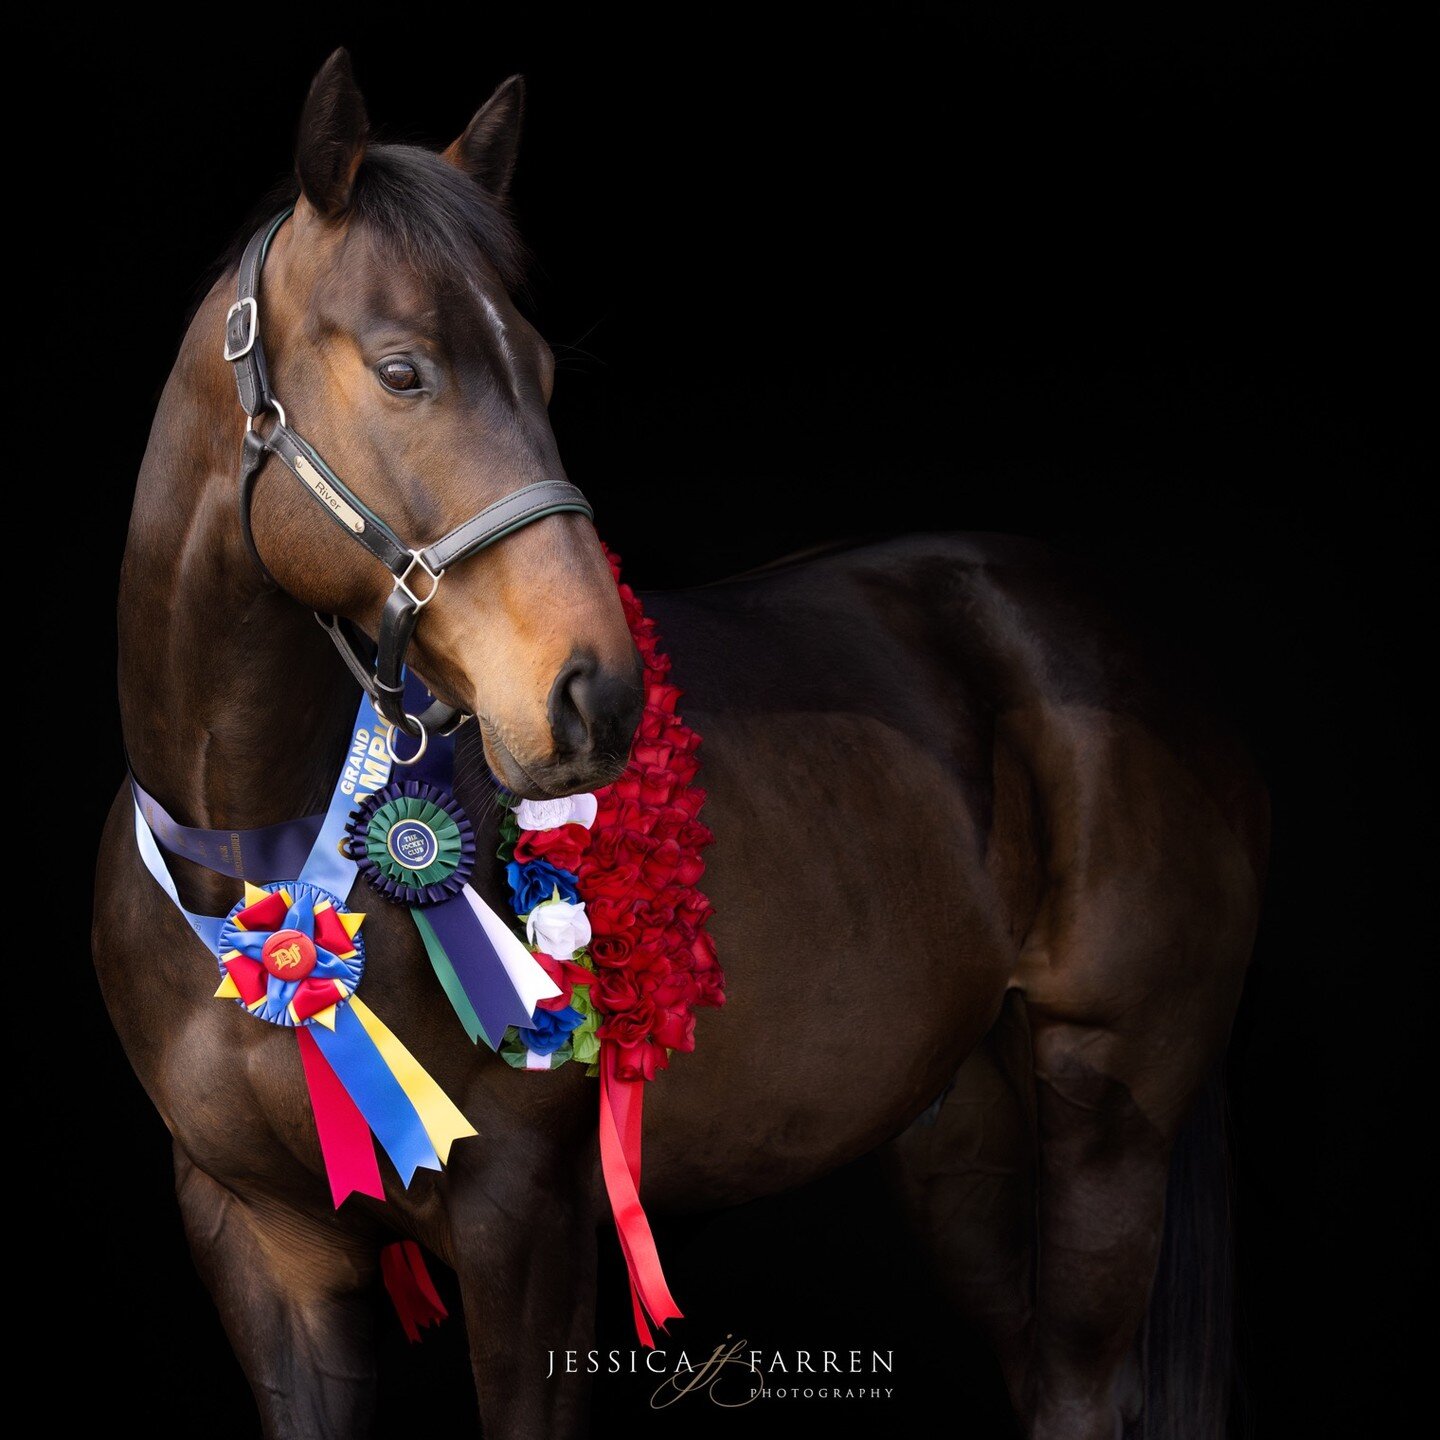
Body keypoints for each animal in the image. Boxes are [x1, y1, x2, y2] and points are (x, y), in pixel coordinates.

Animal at [98, 53, 1261, 1440]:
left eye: (544, 372)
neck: (257, 859)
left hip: (1107, 1118)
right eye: (402, 371)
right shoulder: (260, 1245)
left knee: (1082, 1384)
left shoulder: (525, 1218)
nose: (599, 698)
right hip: (961, 1135)